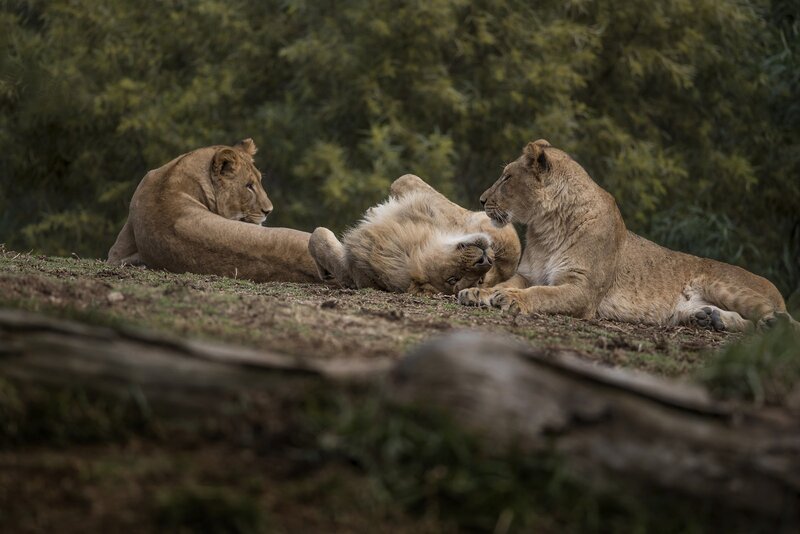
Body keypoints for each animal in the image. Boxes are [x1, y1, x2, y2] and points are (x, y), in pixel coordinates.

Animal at [458, 139, 793, 332]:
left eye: (507, 178)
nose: (481, 200)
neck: (545, 228)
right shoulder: (528, 274)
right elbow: (507, 282)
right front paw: (477, 293)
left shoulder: (583, 289)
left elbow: (542, 294)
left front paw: (510, 298)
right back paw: (710, 319)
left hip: (721, 284)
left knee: (784, 322)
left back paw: (772, 322)